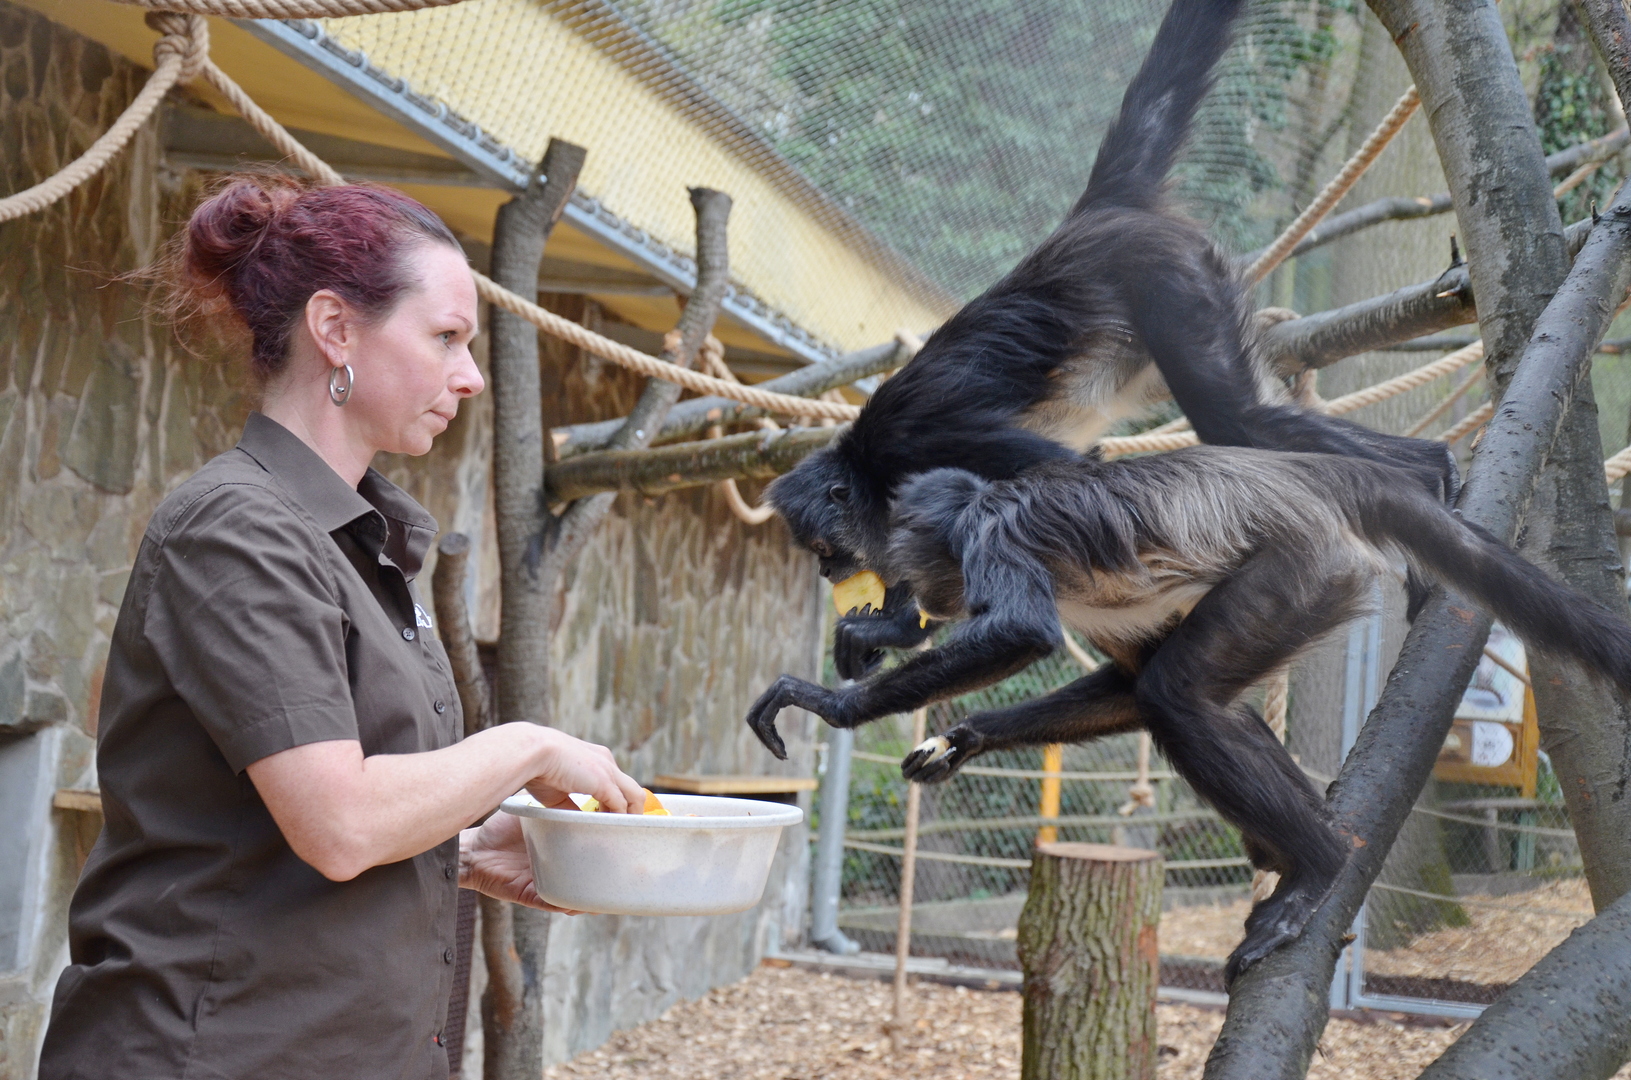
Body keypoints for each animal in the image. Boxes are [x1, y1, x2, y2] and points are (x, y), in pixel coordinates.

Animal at [746, 447, 1631, 978]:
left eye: (830, 550)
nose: (834, 571)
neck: (981, 501)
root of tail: (1307, 479)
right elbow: (1124, 687)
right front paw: (965, 738)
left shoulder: (993, 534)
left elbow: (1031, 633)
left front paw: (829, 703)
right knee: (1193, 698)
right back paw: (1311, 840)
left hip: (1302, 571)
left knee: (1177, 695)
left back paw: (1317, 863)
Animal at [769, 0, 1461, 678]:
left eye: (824, 546)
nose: (828, 569)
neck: (867, 464)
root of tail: (1092, 218)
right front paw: (887, 628)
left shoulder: (917, 440)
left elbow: (1061, 476)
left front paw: (899, 624)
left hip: (1168, 276)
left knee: (1235, 417)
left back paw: (1428, 476)